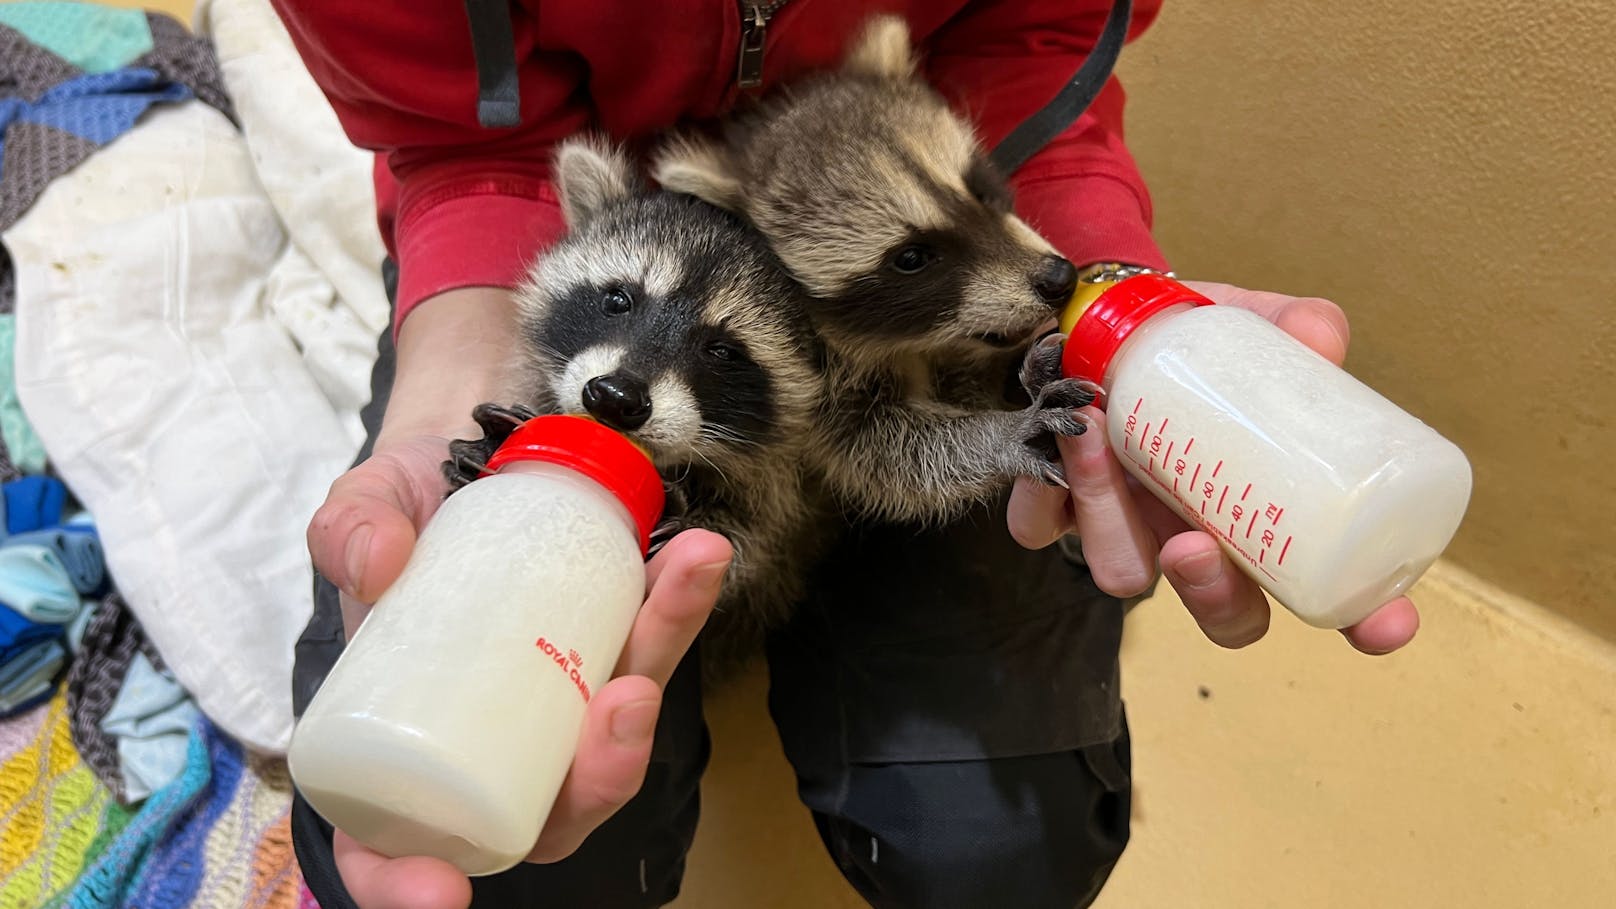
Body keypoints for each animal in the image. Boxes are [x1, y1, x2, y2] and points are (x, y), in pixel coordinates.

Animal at [649, 12, 1092, 524]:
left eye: (980, 190)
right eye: (912, 258)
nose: (1059, 279)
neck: (909, 346)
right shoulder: (808, 386)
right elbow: (884, 453)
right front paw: (997, 434)